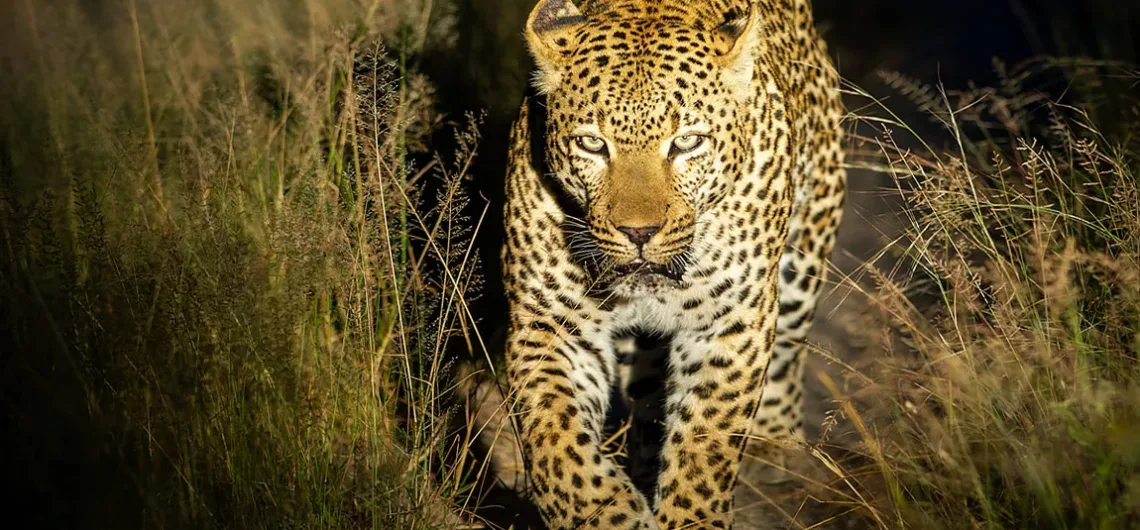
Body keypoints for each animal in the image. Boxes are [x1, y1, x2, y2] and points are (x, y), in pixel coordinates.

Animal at [501, 1, 848, 524]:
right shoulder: (551, 324)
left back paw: (776, 444)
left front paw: (691, 517)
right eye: (592, 144)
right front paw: (608, 516)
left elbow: (706, 444)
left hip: (805, 255)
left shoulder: (729, 322)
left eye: (687, 143)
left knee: (788, 350)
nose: (639, 233)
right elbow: (557, 444)